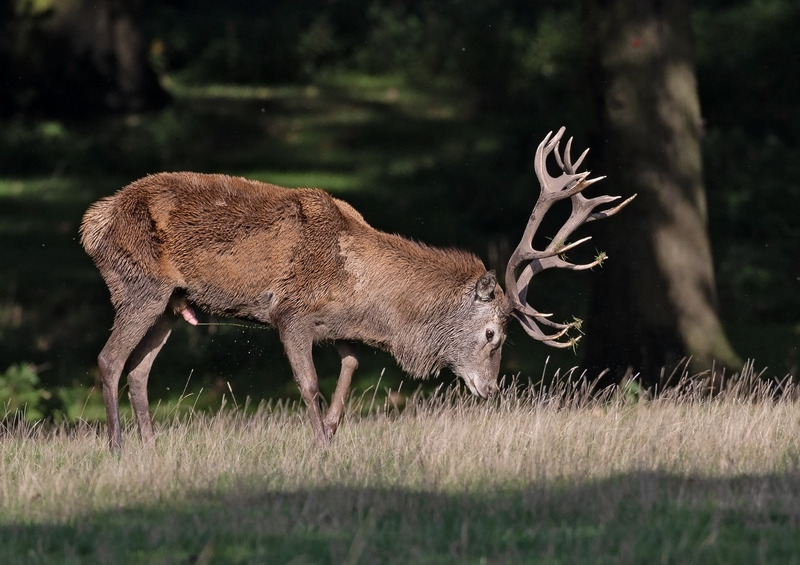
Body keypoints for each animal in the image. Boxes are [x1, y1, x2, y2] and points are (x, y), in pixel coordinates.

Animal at [80, 127, 634, 451]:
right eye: (493, 334)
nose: (491, 388)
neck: (367, 298)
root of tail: (92, 224)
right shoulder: (291, 313)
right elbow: (309, 384)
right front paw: (321, 448)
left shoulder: (342, 330)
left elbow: (348, 370)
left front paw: (331, 431)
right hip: (139, 286)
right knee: (109, 360)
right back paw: (117, 447)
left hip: (170, 305)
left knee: (139, 370)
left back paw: (151, 447)